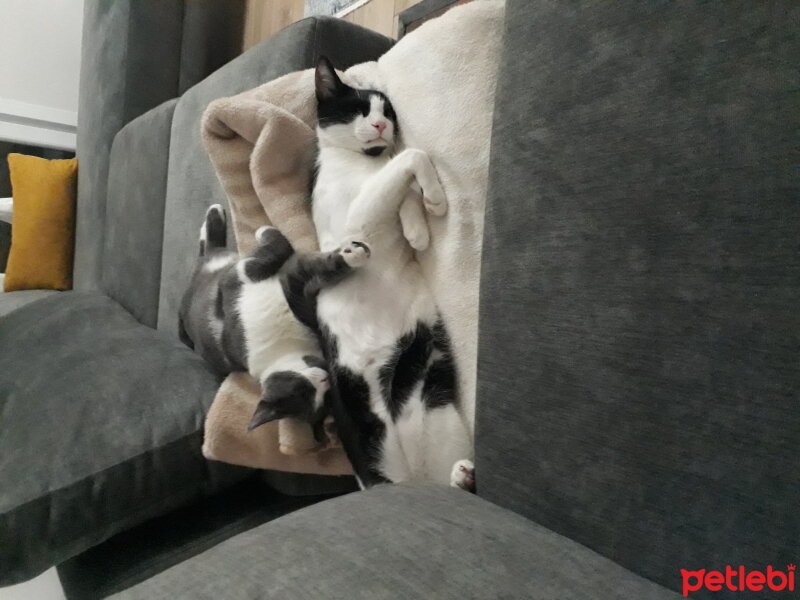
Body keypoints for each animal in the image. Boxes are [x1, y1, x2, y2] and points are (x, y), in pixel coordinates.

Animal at [296, 56, 476, 490]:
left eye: (388, 112)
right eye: (362, 110)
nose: (381, 126)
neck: (366, 161)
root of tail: (411, 479)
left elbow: (403, 181)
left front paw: (417, 228)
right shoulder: (356, 217)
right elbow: (410, 156)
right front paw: (435, 200)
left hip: (438, 411)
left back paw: (462, 477)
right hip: (366, 425)